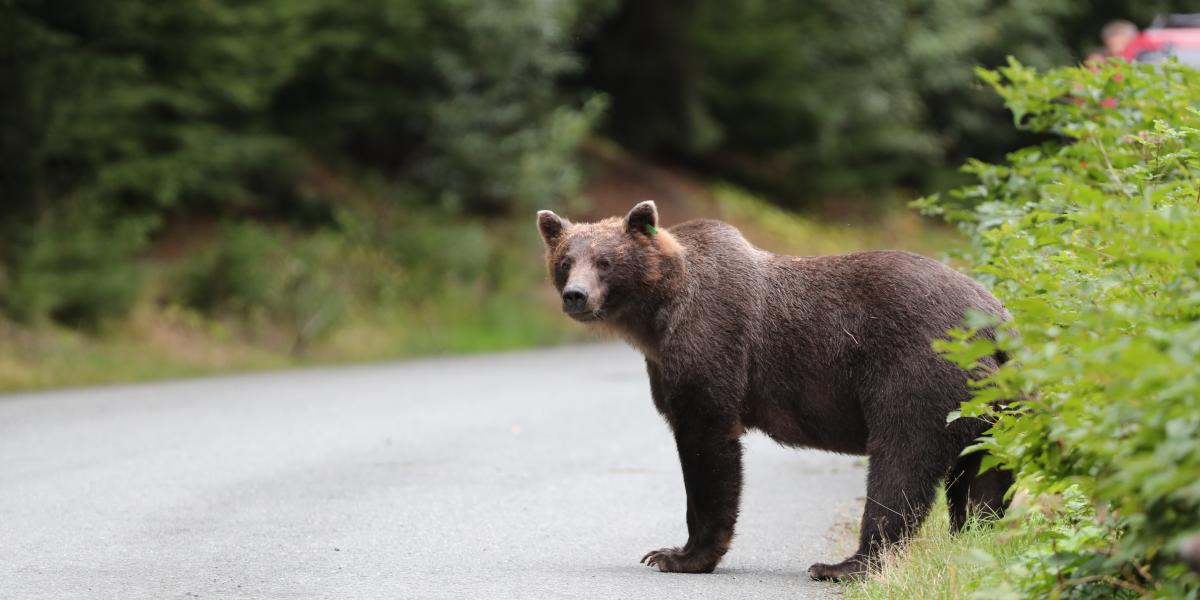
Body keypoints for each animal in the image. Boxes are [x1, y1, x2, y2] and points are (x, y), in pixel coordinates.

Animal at [537, 201, 1012, 580]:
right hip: (994, 406)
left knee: (902, 461)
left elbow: (708, 448)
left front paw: (676, 555)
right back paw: (972, 543)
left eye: (605, 261)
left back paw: (843, 565)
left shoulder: (712, 347)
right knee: (984, 478)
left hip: (918, 373)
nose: (576, 295)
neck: (656, 317)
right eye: (565, 260)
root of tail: (997, 320)